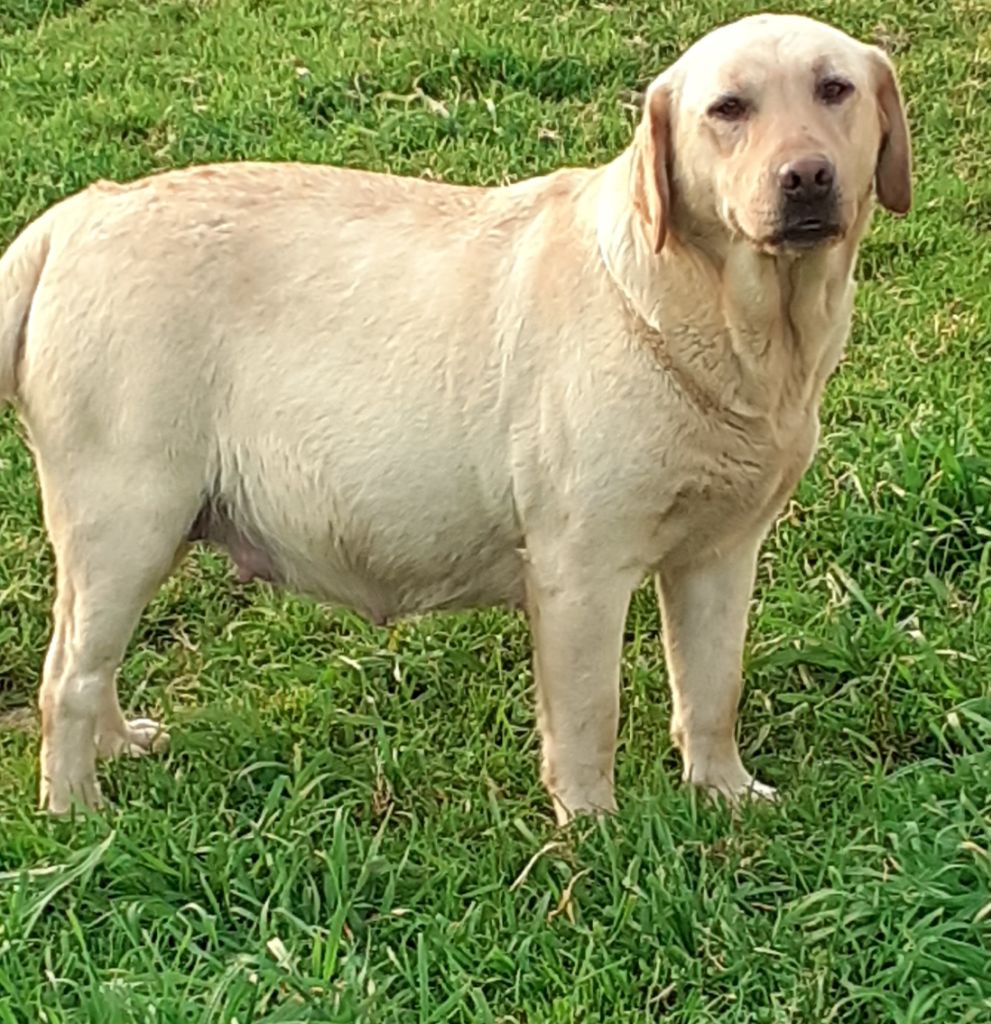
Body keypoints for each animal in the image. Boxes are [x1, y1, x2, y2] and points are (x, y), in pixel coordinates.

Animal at [0, 12, 913, 819]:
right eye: (727, 109)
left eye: (833, 89)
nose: (805, 177)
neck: (724, 321)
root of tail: (72, 217)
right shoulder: (580, 567)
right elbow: (589, 716)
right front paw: (596, 834)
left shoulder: (721, 554)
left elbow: (712, 687)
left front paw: (723, 795)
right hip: (126, 516)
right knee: (66, 676)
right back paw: (77, 811)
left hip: (135, 535)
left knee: (90, 658)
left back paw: (119, 749)